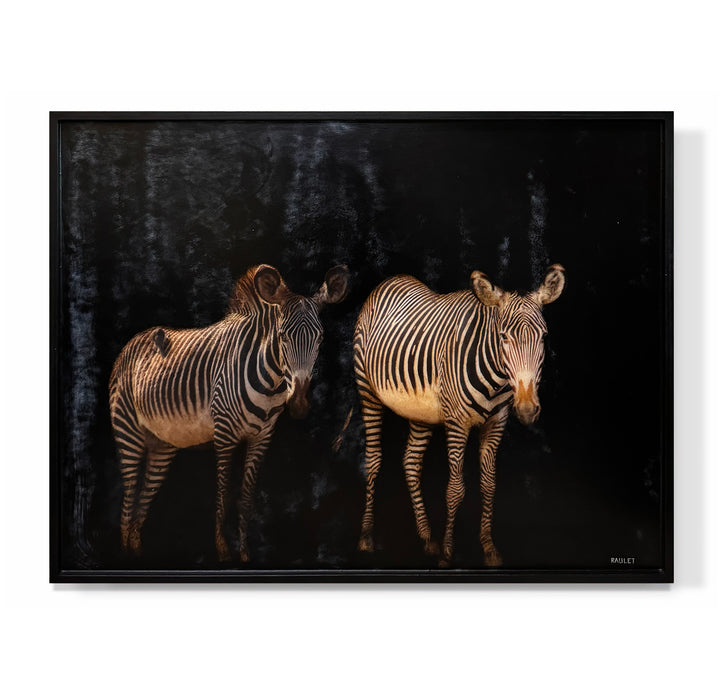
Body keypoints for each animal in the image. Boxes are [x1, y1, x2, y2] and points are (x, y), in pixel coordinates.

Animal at [109, 263, 349, 562]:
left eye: (320, 337)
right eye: (282, 336)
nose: (299, 404)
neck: (271, 383)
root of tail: (134, 340)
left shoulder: (262, 438)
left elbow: (245, 498)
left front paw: (245, 552)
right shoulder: (224, 435)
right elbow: (223, 494)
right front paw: (223, 550)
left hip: (162, 444)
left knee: (142, 500)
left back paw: (137, 553)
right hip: (128, 430)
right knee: (128, 498)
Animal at [353, 264, 565, 567]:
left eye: (544, 337)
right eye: (503, 337)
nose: (526, 409)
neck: (496, 377)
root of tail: (392, 279)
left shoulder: (496, 423)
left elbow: (489, 485)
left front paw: (488, 548)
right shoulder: (457, 423)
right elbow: (455, 490)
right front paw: (448, 553)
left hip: (420, 411)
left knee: (410, 462)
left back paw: (426, 537)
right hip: (367, 391)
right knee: (372, 461)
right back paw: (367, 536)